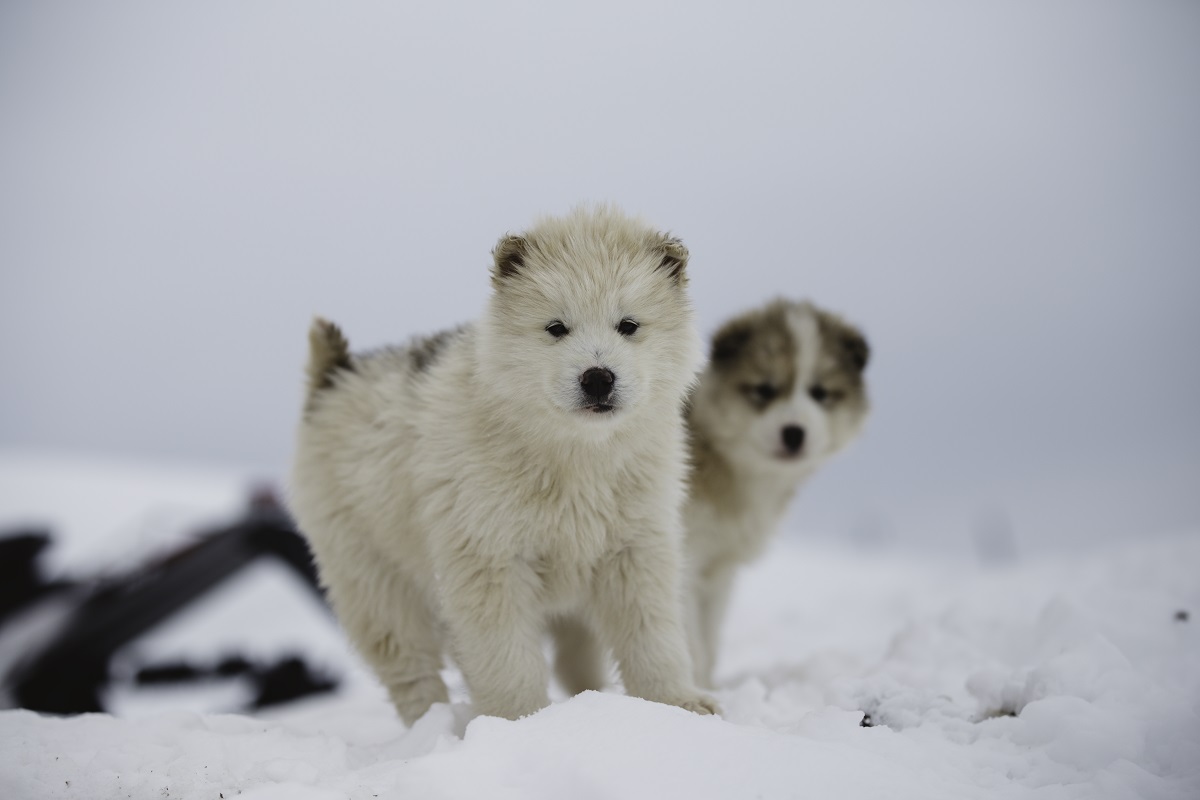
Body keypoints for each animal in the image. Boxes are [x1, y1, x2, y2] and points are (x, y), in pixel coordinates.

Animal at [288, 203, 720, 724]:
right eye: (556, 328)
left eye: (629, 325)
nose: (598, 378)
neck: (575, 456)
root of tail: (334, 377)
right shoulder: (489, 558)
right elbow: (506, 657)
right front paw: (520, 722)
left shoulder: (636, 548)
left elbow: (653, 636)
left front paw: (677, 703)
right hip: (373, 578)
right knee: (411, 667)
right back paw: (432, 724)